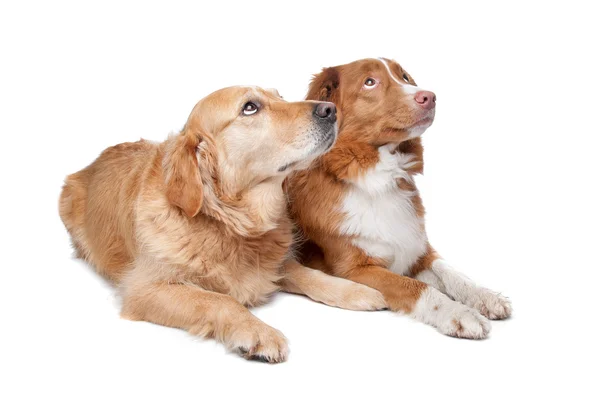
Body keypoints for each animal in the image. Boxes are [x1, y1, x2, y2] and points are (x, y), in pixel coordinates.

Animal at [59, 85, 384, 362]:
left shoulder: (273, 263)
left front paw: (356, 291)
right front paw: (258, 331)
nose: (331, 109)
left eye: (280, 96)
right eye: (250, 107)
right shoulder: (144, 289)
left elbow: (310, 275)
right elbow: (218, 300)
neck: (230, 223)